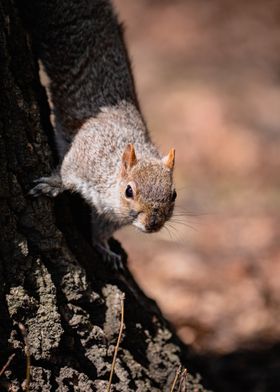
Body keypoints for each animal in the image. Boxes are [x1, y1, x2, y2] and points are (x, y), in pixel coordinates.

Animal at [27, 0, 176, 266]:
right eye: (129, 191)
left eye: (174, 195)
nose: (152, 224)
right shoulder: (86, 154)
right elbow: (66, 171)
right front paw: (53, 184)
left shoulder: (108, 217)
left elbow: (100, 230)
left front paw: (104, 248)